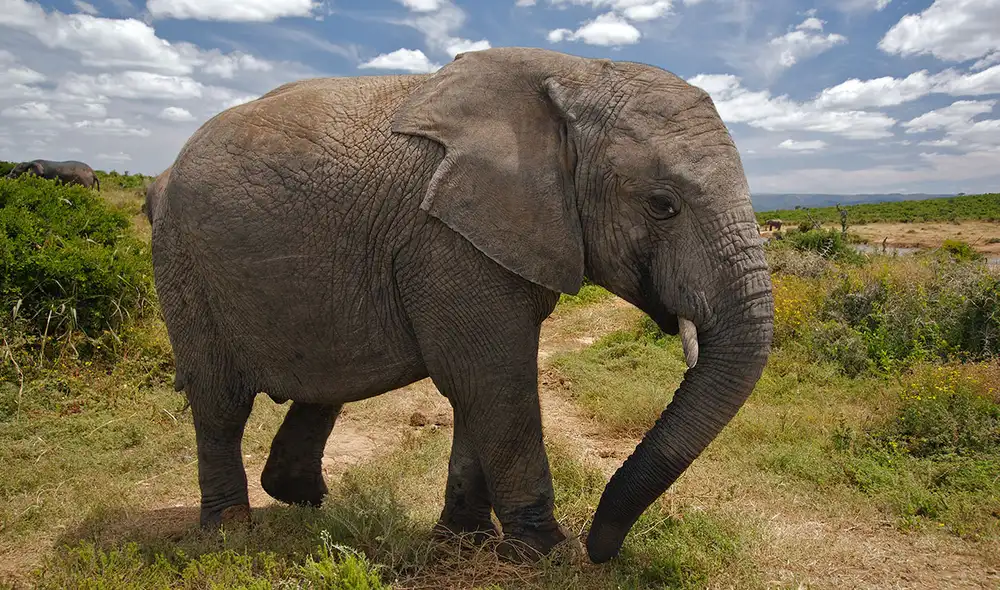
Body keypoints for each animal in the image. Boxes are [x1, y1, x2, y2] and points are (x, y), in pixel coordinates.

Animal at [148, 47, 774, 564]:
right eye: (663, 205)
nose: (601, 549)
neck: (578, 76)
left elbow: (479, 386)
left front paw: (463, 543)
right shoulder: (447, 237)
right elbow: (493, 380)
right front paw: (544, 555)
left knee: (324, 383)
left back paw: (303, 500)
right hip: (184, 263)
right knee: (221, 403)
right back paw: (229, 532)